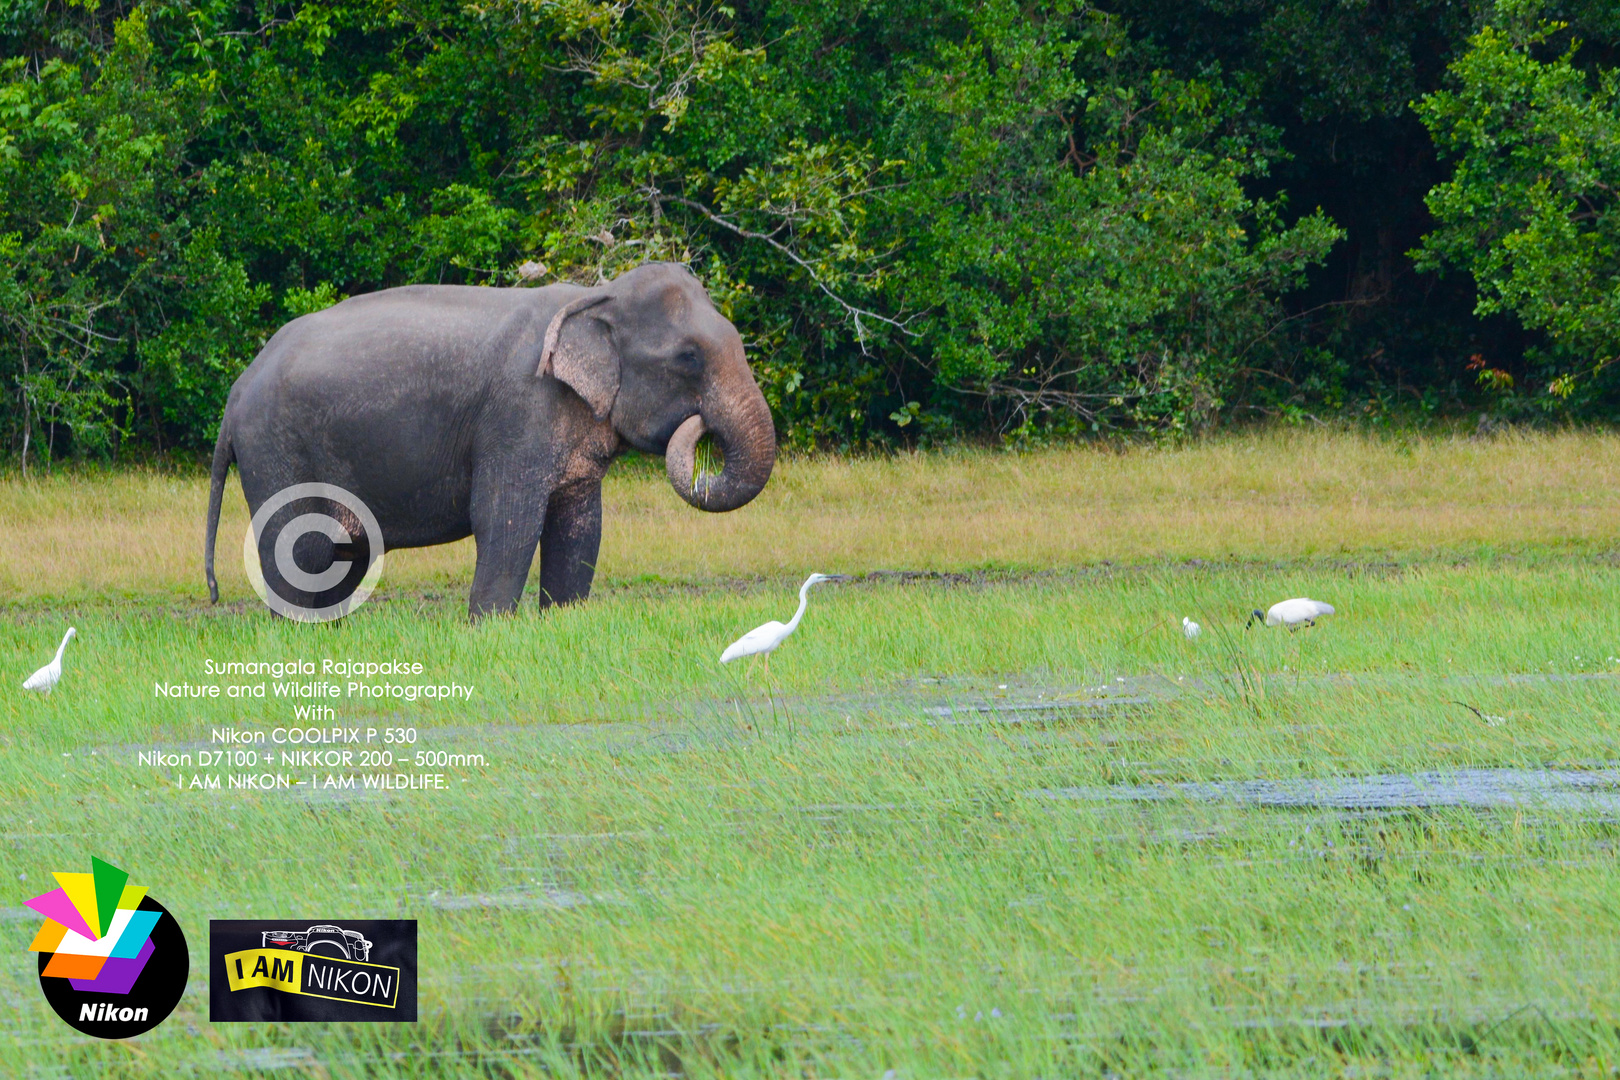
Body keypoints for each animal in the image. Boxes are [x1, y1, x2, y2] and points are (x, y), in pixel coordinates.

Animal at [204, 260, 777, 615]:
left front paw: (561, 621)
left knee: (340, 559)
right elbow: (505, 517)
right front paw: (489, 628)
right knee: (303, 553)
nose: (699, 424)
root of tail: (236, 394)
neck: (595, 298)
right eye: (688, 357)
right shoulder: (518, 413)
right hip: (276, 451)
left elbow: (580, 527)